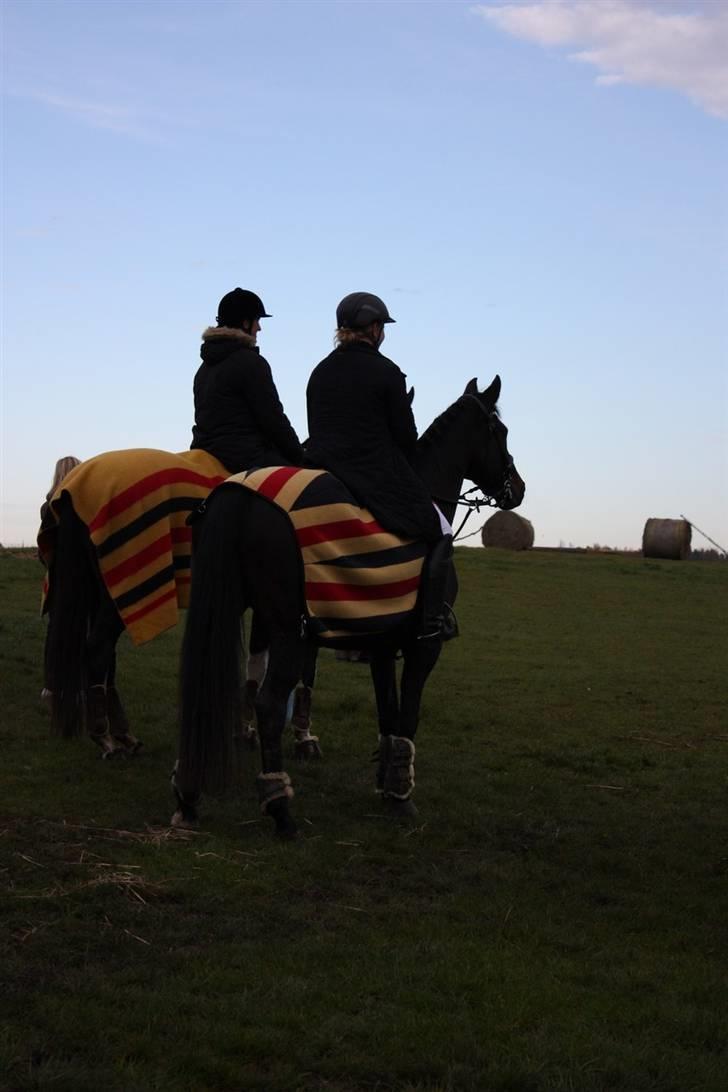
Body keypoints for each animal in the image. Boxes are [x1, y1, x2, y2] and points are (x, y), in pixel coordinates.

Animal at [173, 375, 526, 834]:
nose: (517, 489)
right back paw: (280, 808)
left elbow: (388, 712)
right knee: (269, 704)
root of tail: (237, 494)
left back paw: (188, 795)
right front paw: (402, 795)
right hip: (286, 629)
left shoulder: (381, 641)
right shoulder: (422, 645)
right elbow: (408, 713)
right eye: (500, 431)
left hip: (226, 609)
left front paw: (387, 783)